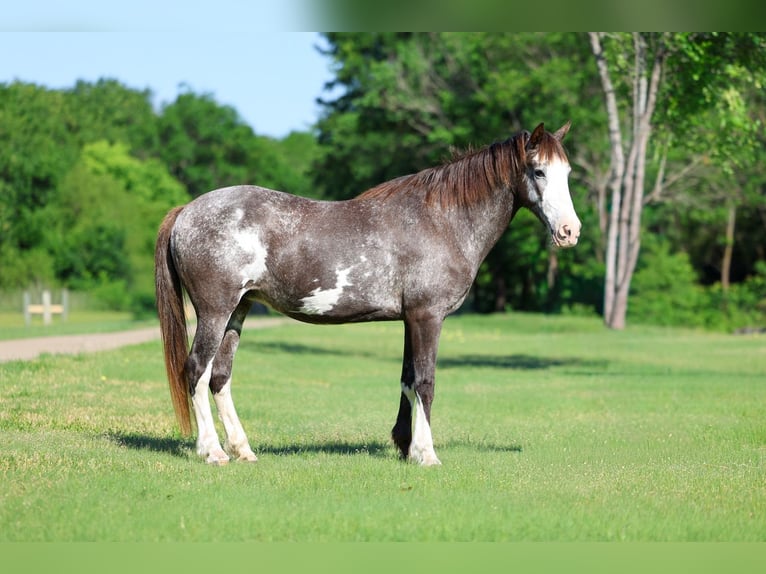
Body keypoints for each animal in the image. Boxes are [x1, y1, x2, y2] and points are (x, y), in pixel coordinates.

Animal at [154, 122, 581, 466]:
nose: (570, 231)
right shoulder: (428, 317)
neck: (441, 220)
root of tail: (186, 211)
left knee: (219, 377)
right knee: (196, 370)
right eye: (538, 171)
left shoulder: (411, 319)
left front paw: (406, 446)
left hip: (237, 312)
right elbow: (426, 382)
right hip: (215, 311)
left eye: (568, 172)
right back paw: (212, 452)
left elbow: (408, 380)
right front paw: (427, 454)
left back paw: (243, 450)